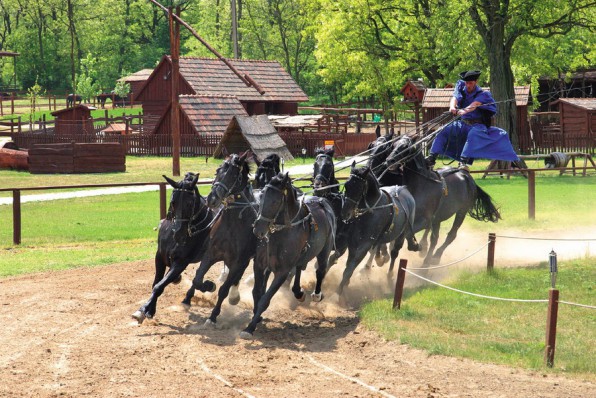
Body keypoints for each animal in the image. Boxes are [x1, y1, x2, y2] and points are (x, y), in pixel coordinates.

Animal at [132, 172, 215, 324]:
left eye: (190, 203)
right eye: (173, 202)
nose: (179, 233)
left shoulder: (181, 262)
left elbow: (159, 286)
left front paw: (145, 309)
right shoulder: (159, 256)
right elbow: (156, 283)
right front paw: (146, 310)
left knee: (199, 278)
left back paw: (204, 288)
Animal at [179, 152, 258, 326]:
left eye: (233, 174)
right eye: (217, 171)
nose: (211, 199)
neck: (233, 224)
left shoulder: (238, 261)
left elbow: (223, 290)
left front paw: (213, 316)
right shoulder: (211, 254)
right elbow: (198, 279)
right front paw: (208, 286)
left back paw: (234, 296)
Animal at [241, 173, 336, 338]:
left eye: (275, 201)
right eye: (261, 196)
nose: (258, 229)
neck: (281, 233)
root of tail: (323, 202)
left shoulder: (282, 272)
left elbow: (265, 298)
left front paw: (249, 328)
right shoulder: (260, 265)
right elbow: (257, 292)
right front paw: (256, 317)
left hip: (324, 250)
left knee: (320, 270)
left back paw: (316, 294)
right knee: (299, 267)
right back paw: (298, 292)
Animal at [338, 162, 416, 296]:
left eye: (359, 188)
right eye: (347, 185)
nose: (345, 213)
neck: (371, 211)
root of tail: (405, 190)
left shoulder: (365, 244)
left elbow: (350, 267)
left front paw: (339, 291)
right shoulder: (353, 243)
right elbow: (349, 265)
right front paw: (345, 284)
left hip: (402, 234)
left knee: (394, 253)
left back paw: (389, 274)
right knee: (380, 246)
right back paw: (380, 258)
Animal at [384, 135, 500, 266]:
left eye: (405, 147)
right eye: (393, 145)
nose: (389, 161)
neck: (421, 185)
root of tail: (466, 175)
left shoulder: (425, 221)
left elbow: (409, 234)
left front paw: (415, 246)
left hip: (461, 212)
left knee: (451, 235)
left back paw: (435, 257)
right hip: (438, 219)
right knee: (434, 239)